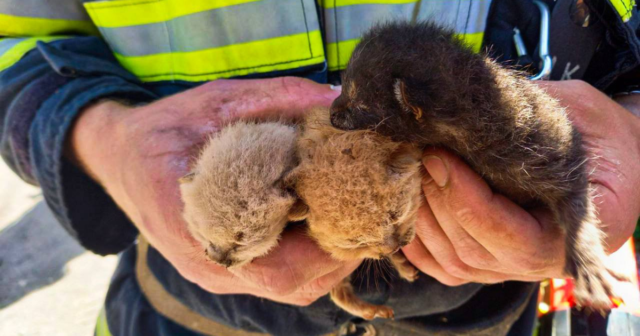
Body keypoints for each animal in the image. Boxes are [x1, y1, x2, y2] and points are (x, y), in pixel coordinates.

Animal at [288, 107, 422, 320]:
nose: (392, 249)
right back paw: (373, 311)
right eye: (357, 242)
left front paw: (403, 264)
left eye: (396, 215)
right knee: (338, 293)